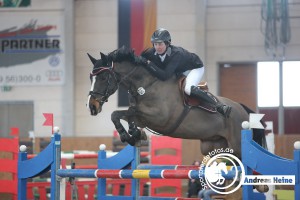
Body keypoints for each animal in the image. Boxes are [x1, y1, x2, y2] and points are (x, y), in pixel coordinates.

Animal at [85, 47, 266, 159]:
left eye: (103, 77)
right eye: (90, 78)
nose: (92, 106)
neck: (146, 84)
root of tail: (242, 108)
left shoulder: (158, 118)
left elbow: (123, 112)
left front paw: (126, 135)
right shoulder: (143, 117)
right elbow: (123, 114)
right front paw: (133, 134)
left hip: (237, 143)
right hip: (213, 145)